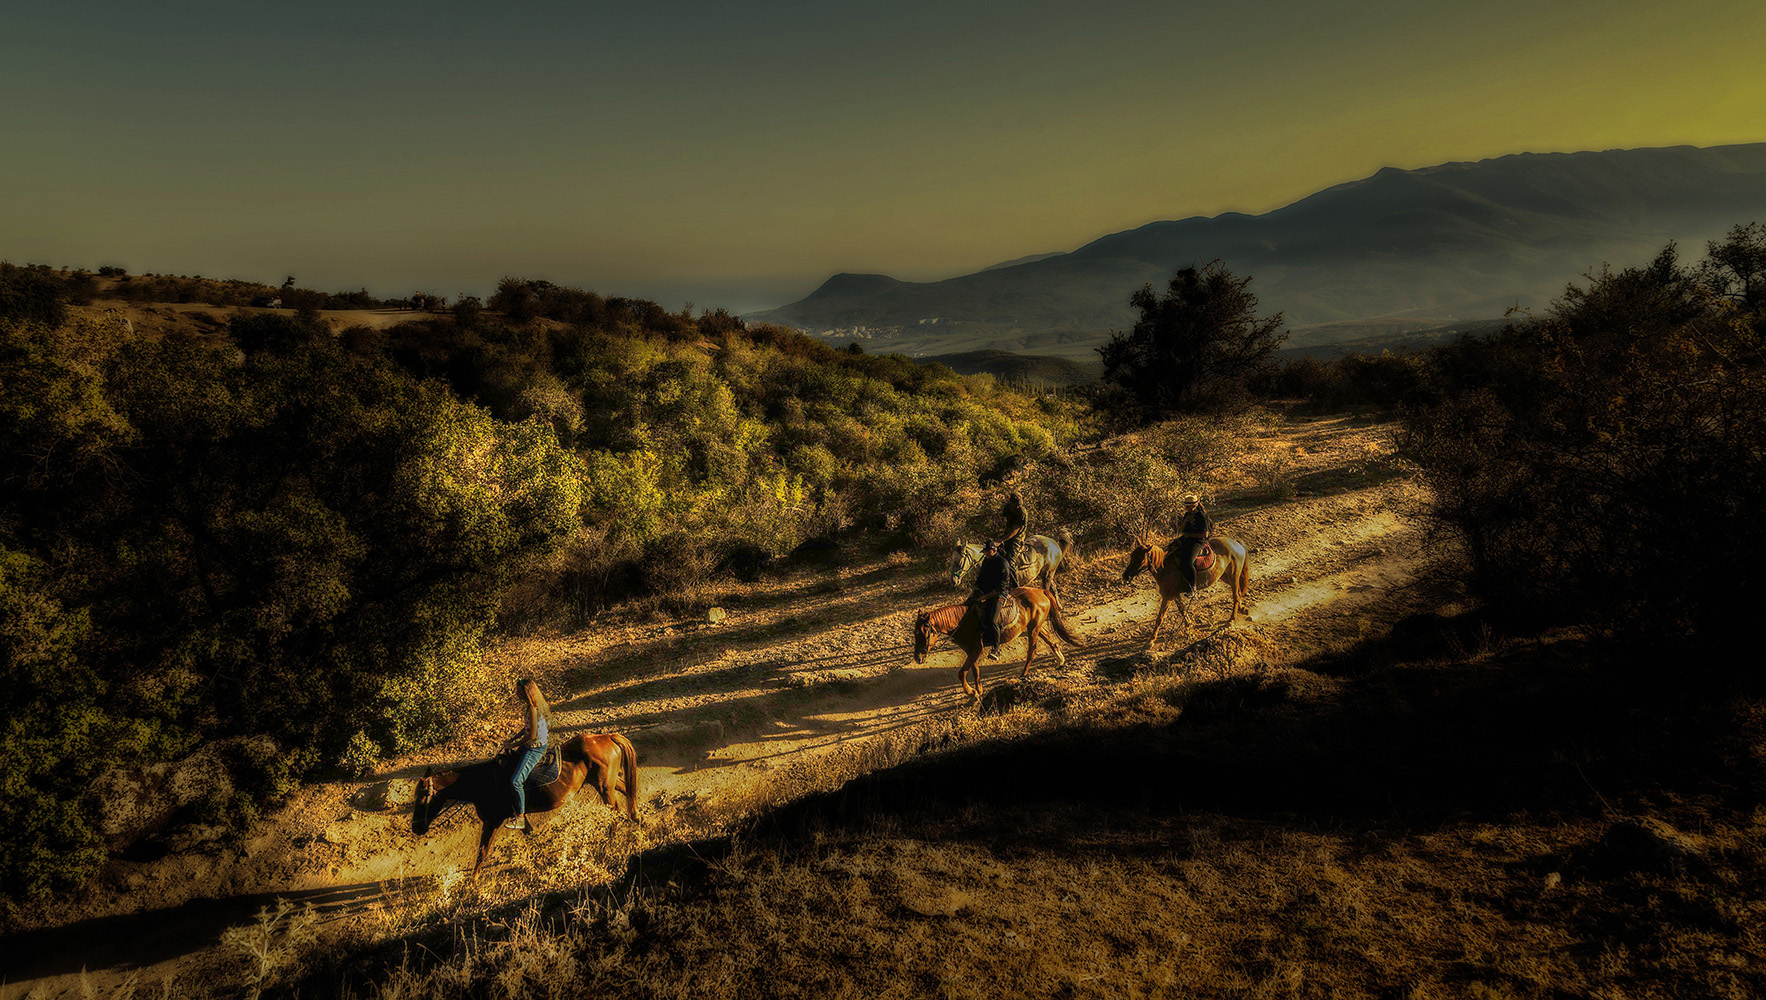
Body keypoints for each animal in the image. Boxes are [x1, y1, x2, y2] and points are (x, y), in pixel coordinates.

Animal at [409, 731, 639, 872]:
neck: (484, 783)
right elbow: (530, 836)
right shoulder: (519, 816)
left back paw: (611, 837)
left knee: (615, 809)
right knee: (627, 792)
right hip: (608, 782)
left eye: (424, 796)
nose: (416, 828)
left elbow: (482, 854)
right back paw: (638, 820)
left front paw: (470, 888)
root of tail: (607, 737)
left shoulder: (492, 821)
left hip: (604, 786)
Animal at [918, 586, 1080, 706]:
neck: (962, 620)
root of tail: (1040, 591)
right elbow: (975, 671)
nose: (918, 658)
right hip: (1035, 626)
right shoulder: (971, 650)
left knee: (1032, 651)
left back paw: (1023, 675)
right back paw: (1060, 661)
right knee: (1049, 639)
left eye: (924, 633)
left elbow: (962, 673)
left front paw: (972, 694)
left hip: (1033, 629)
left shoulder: (977, 649)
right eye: (915, 633)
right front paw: (978, 693)